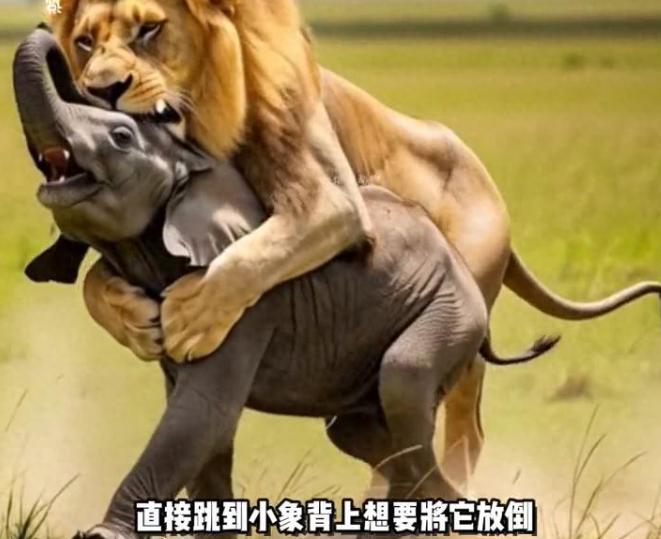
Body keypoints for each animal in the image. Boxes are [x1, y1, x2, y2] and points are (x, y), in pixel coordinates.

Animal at [13, 29, 559, 539]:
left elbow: (202, 412)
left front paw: (100, 533)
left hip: (450, 309)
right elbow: (206, 429)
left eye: (122, 137)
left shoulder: (245, 303)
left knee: (403, 383)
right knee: (359, 430)